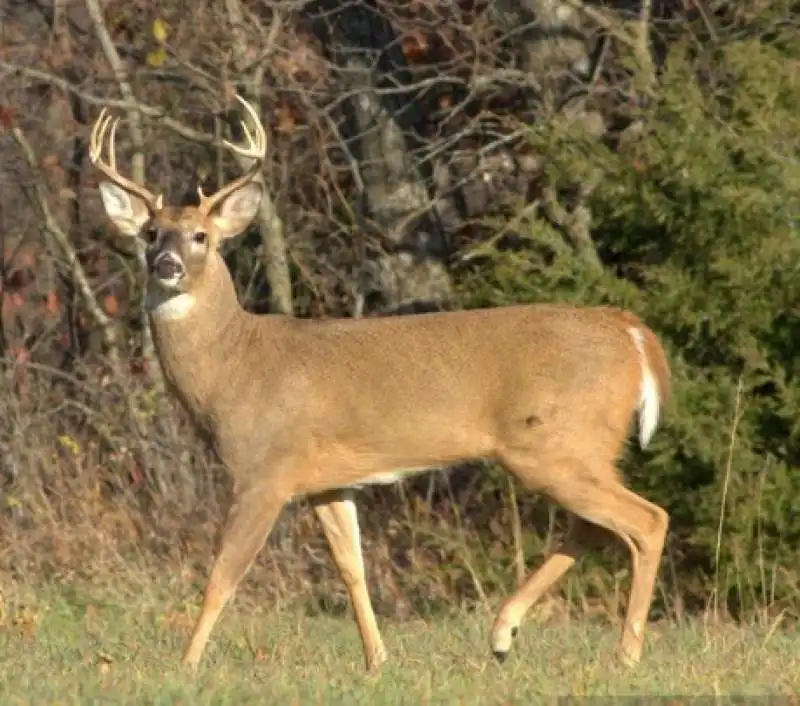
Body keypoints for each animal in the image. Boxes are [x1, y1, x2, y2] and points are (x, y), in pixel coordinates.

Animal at [90, 93, 672, 672]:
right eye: (149, 233)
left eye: (202, 237)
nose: (166, 264)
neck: (235, 367)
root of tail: (632, 334)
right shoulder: (327, 481)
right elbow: (353, 567)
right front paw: (377, 659)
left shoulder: (264, 470)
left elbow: (222, 576)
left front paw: (185, 666)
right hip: (573, 447)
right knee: (596, 526)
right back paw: (504, 632)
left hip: (556, 441)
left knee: (647, 519)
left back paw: (625, 653)